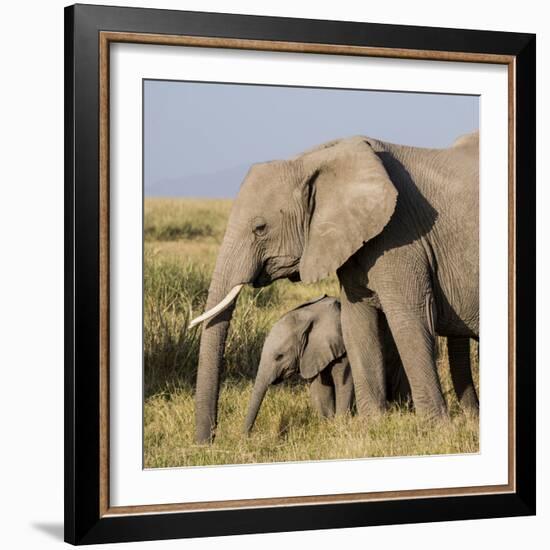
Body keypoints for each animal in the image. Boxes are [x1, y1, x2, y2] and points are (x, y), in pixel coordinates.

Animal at [245, 298, 356, 436]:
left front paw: (340, 426)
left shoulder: (343, 349)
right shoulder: (313, 352)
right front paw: (327, 426)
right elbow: (320, 388)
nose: (246, 437)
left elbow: (344, 383)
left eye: (279, 357)